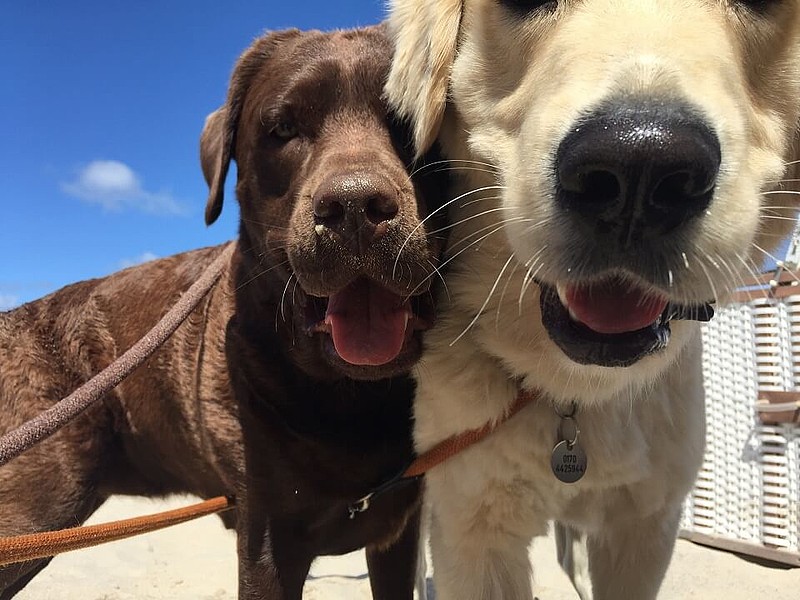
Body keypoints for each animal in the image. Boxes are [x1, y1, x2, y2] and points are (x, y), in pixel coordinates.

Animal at [0, 25, 446, 596]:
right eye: (283, 128)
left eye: (412, 123)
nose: (353, 208)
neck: (349, 399)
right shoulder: (267, 539)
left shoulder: (397, 529)